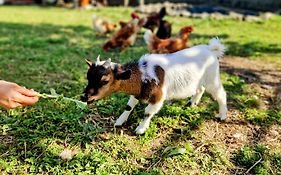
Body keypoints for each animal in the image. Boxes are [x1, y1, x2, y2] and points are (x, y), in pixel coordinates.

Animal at [82, 38, 226, 134]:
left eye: (105, 81)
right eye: (88, 77)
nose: (85, 97)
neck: (142, 74)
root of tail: (211, 49)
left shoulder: (158, 97)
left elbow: (148, 112)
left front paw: (140, 129)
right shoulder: (137, 92)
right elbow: (129, 106)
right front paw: (119, 122)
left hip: (212, 78)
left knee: (221, 94)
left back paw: (222, 116)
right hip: (200, 80)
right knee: (200, 89)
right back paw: (191, 104)